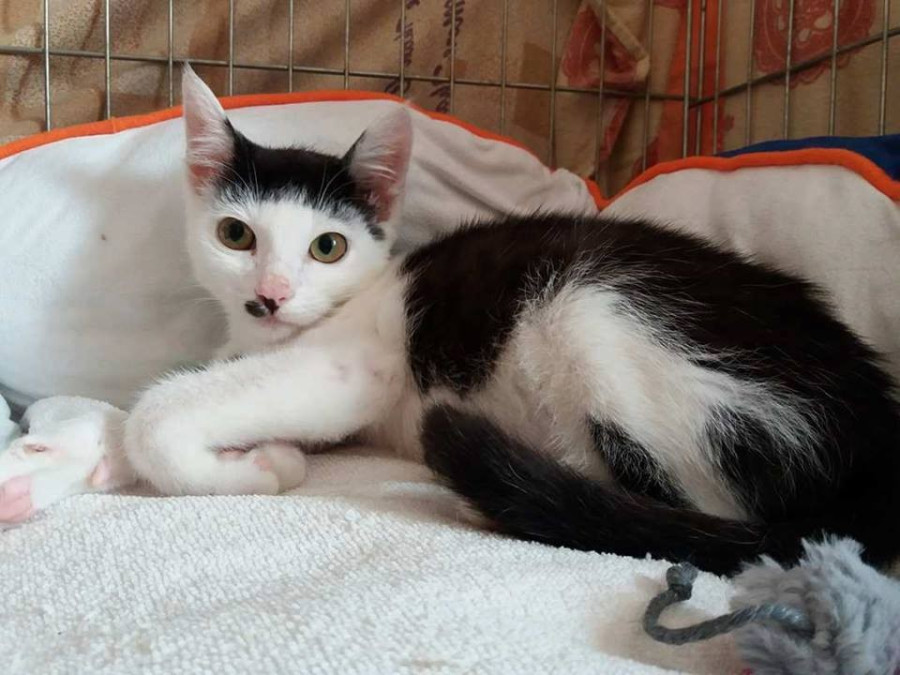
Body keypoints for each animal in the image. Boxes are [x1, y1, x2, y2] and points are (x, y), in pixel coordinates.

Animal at [122, 66, 900, 575]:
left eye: (327, 247)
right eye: (235, 236)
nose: (272, 295)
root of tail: (872, 427)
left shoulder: (356, 366)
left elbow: (156, 415)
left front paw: (258, 466)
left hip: (590, 306)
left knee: (693, 514)